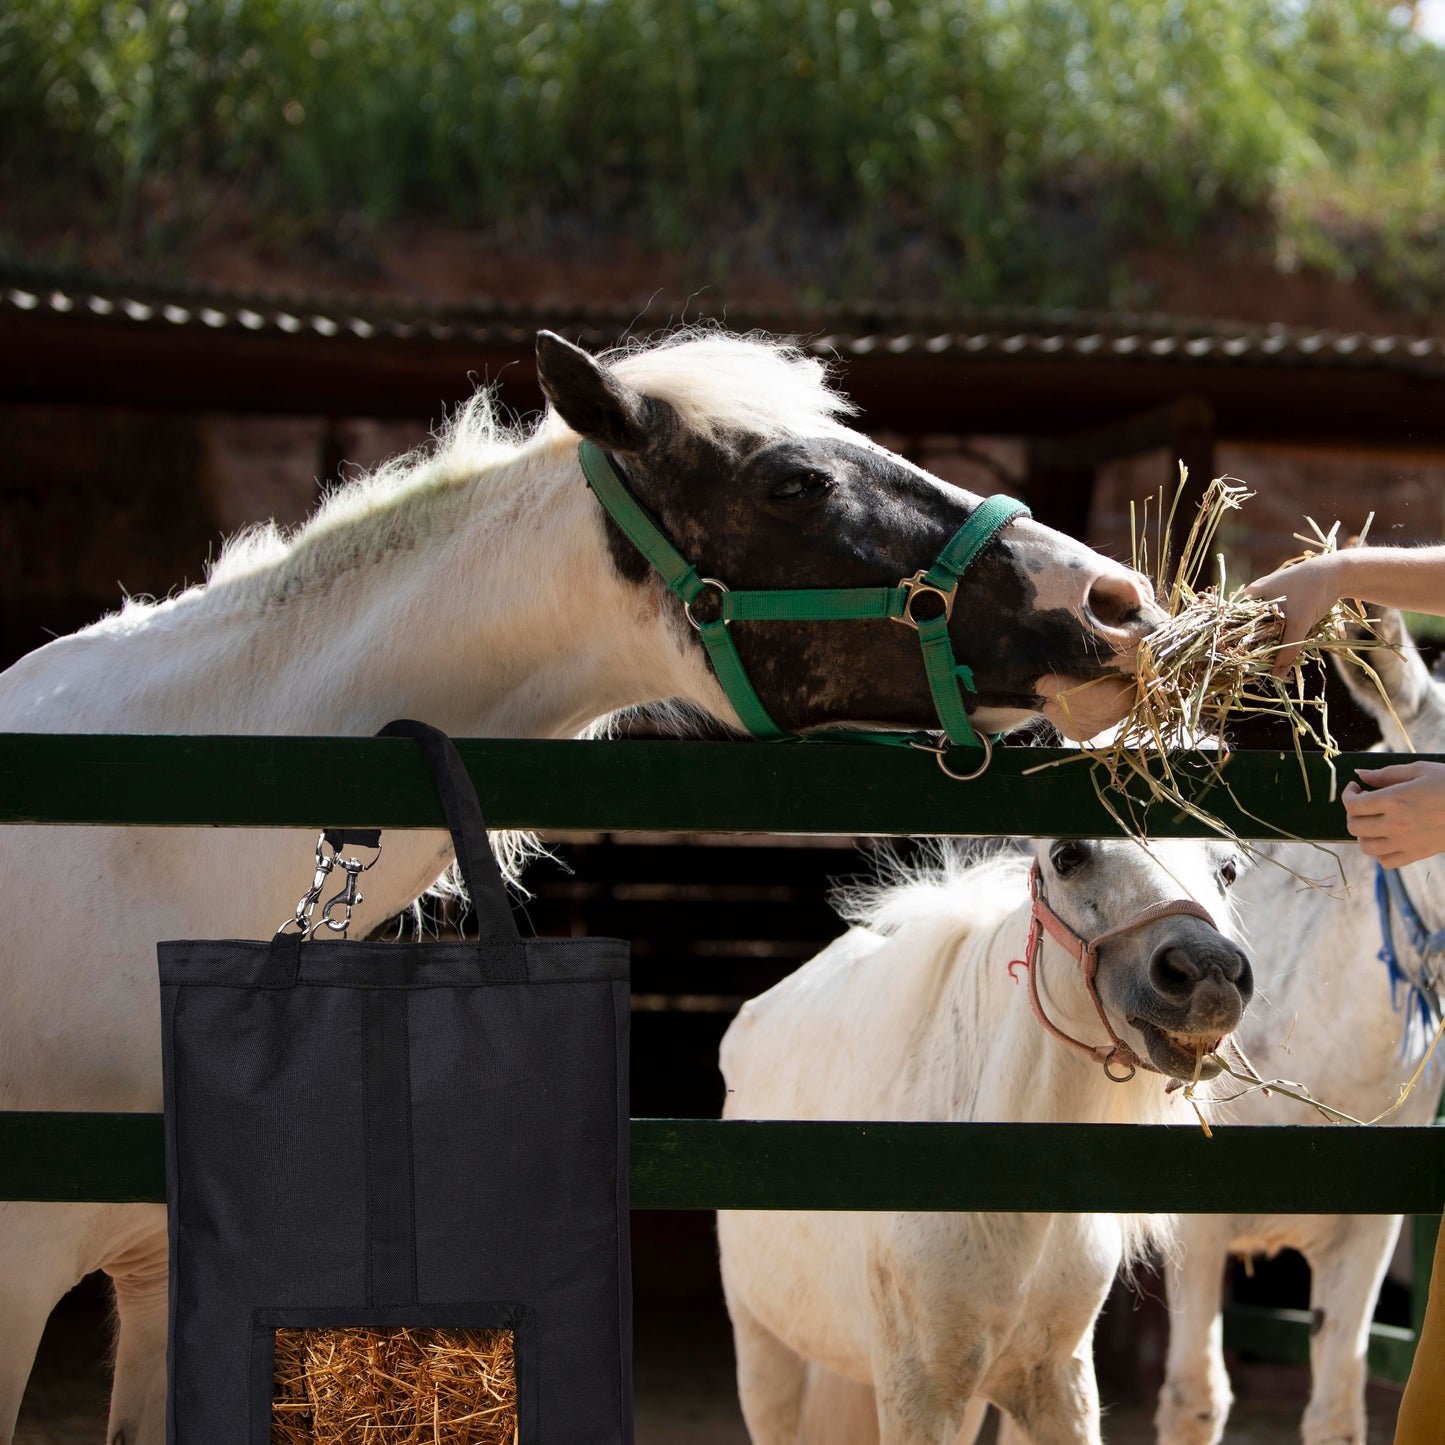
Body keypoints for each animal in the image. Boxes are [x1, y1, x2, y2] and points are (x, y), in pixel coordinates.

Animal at [722, 832, 1254, 1439]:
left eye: (1228, 869)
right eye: (1068, 855)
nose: (1208, 971)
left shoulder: (1054, 1386)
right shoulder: (920, 1396)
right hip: (765, 1355)